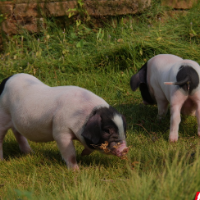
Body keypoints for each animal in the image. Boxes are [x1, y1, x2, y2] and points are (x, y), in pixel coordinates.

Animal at [0, 72, 128, 170]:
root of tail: (5, 80)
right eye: (107, 130)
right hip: (3, 116)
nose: (125, 149)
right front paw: (76, 171)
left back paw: (30, 153)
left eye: (124, 130)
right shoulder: (60, 130)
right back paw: (2, 161)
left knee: (17, 133)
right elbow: (70, 153)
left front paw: (83, 154)